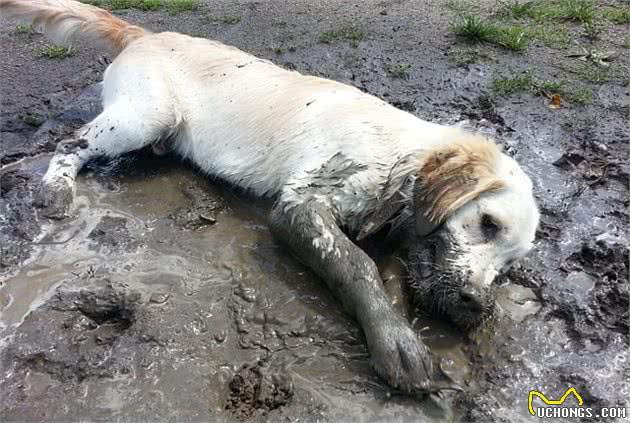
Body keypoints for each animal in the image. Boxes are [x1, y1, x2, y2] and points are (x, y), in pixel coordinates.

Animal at [0, 0, 540, 398]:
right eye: (487, 223)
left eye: (511, 265)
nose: (478, 305)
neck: (397, 156)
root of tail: (144, 34)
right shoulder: (301, 204)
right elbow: (357, 266)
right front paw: (397, 344)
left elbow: (390, 270)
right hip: (144, 114)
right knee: (69, 143)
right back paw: (55, 190)